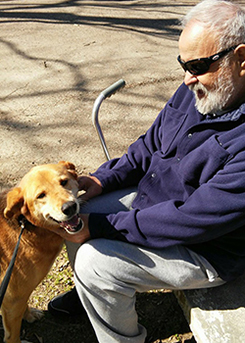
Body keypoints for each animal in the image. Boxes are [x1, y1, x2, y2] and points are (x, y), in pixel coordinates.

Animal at [0, 162, 83, 343]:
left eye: (64, 182)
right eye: (41, 196)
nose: (70, 207)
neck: (24, 223)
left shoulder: (17, 297)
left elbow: (24, 305)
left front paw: (29, 315)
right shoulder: (11, 301)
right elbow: (12, 335)